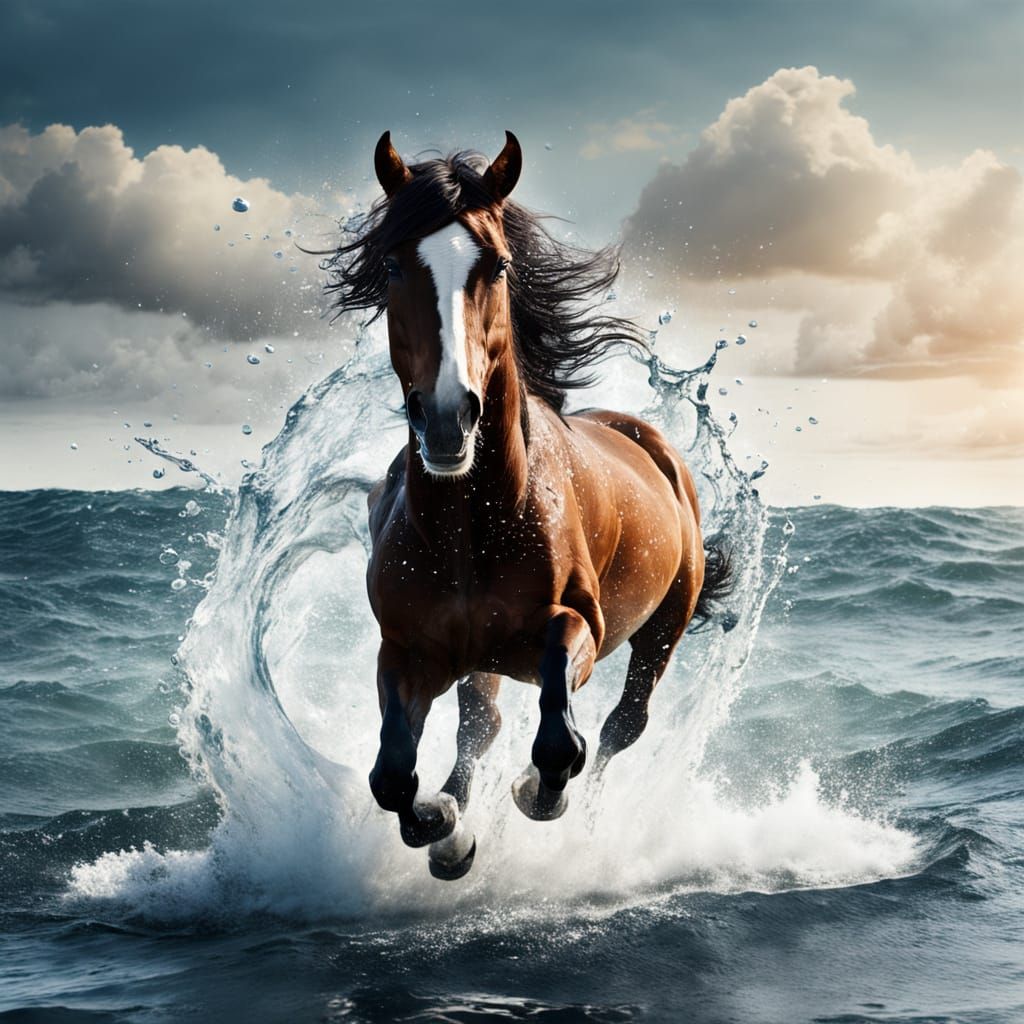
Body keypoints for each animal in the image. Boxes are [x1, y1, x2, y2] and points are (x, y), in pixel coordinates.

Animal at [324, 131, 732, 880]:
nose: (448, 420)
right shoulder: (406, 650)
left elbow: (559, 739)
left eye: (498, 265)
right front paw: (445, 830)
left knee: (622, 726)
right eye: (393, 265)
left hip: (665, 624)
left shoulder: (580, 627)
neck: (470, 529)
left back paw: (587, 823)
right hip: (478, 662)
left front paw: (539, 795)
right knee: (480, 727)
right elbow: (392, 774)